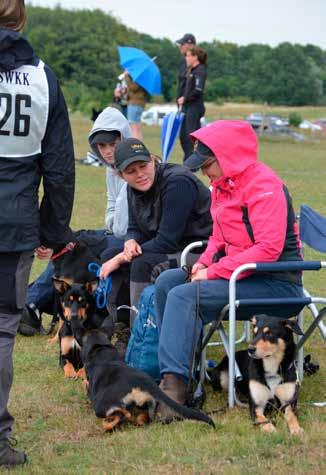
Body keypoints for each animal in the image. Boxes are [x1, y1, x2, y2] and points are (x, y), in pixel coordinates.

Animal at [70, 322, 215, 434]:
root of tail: (143, 382)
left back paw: (111, 423)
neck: (100, 349)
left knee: (122, 413)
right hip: (146, 403)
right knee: (142, 417)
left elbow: (85, 384)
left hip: (100, 405)